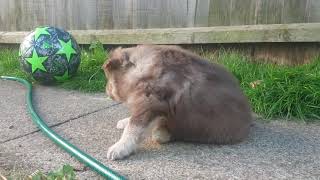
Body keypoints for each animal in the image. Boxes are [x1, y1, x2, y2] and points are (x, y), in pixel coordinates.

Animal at [102, 44, 252, 160]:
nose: (106, 90)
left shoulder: (150, 102)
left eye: (109, 79)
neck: (139, 69)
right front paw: (125, 122)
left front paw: (119, 148)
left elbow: (134, 127)